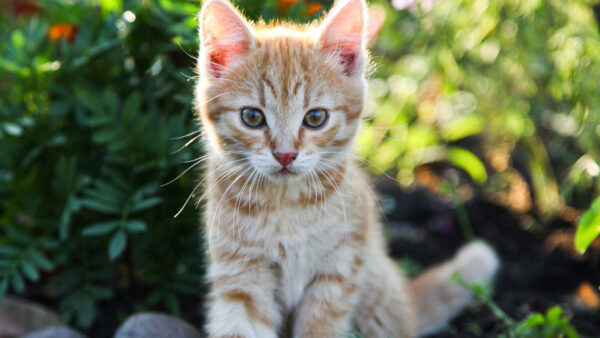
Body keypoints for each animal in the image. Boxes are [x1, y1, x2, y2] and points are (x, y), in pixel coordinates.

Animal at [195, 0, 500, 336]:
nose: (285, 155)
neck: (286, 207)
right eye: (252, 117)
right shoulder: (241, 279)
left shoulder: (339, 270)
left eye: (316, 118)